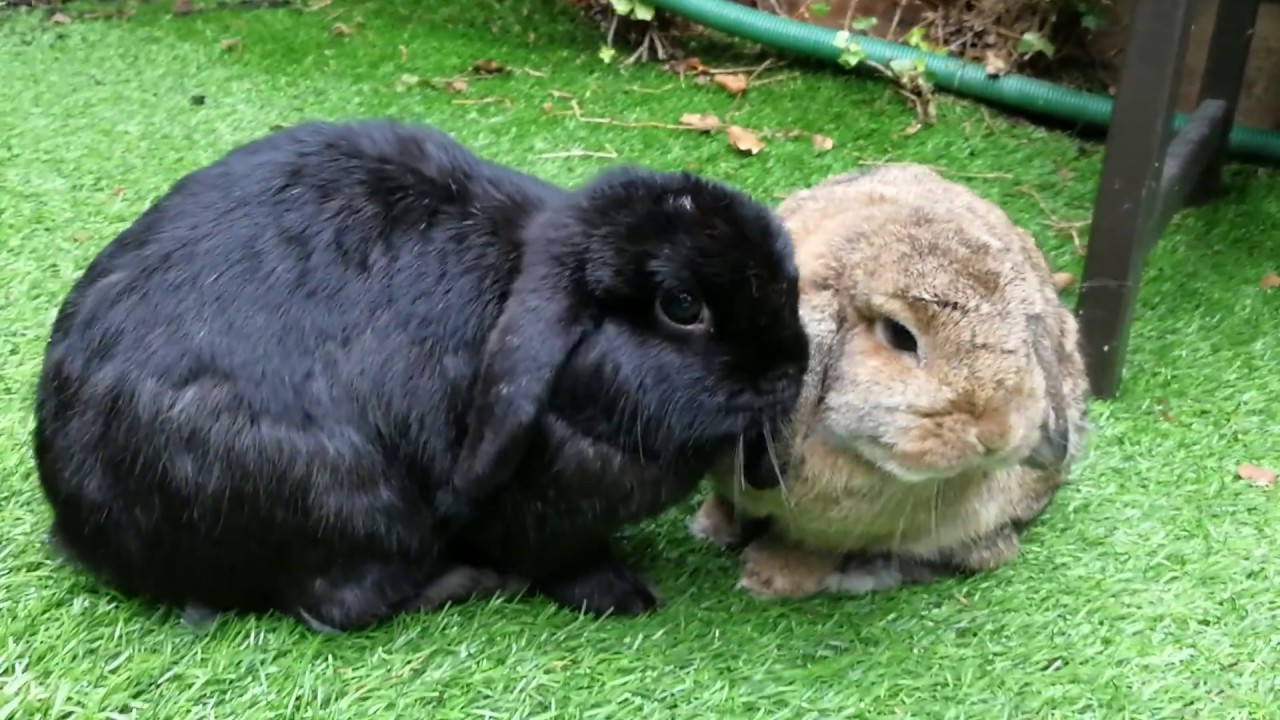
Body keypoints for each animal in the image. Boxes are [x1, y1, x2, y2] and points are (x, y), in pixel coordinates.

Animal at [32, 120, 808, 630]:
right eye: (682, 306)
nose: (791, 370)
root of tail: (84, 526)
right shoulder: (538, 519)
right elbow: (567, 560)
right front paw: (624, 594)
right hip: (351, 502)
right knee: (338, 604)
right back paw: (471, 580)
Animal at [691, 165, 1090, 597]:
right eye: (899, 335)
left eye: (1022, 332)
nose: (995, 435)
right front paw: (711, 527)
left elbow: (810, 550)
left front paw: (768, 578)